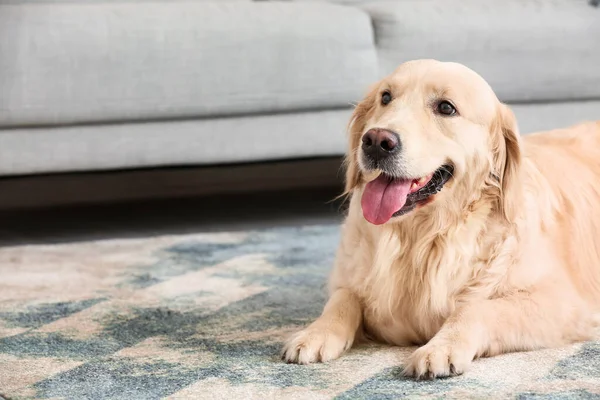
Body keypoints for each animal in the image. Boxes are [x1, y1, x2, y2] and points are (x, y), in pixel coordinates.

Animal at [282, 58, 600, 378]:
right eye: (386, 97)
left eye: (446, 107)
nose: (375, 140)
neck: (423, 237)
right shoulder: (349, 278)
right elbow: (342, 298)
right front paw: (315, 333)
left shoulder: (564, 303)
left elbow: (476, 308)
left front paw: (441, 348)